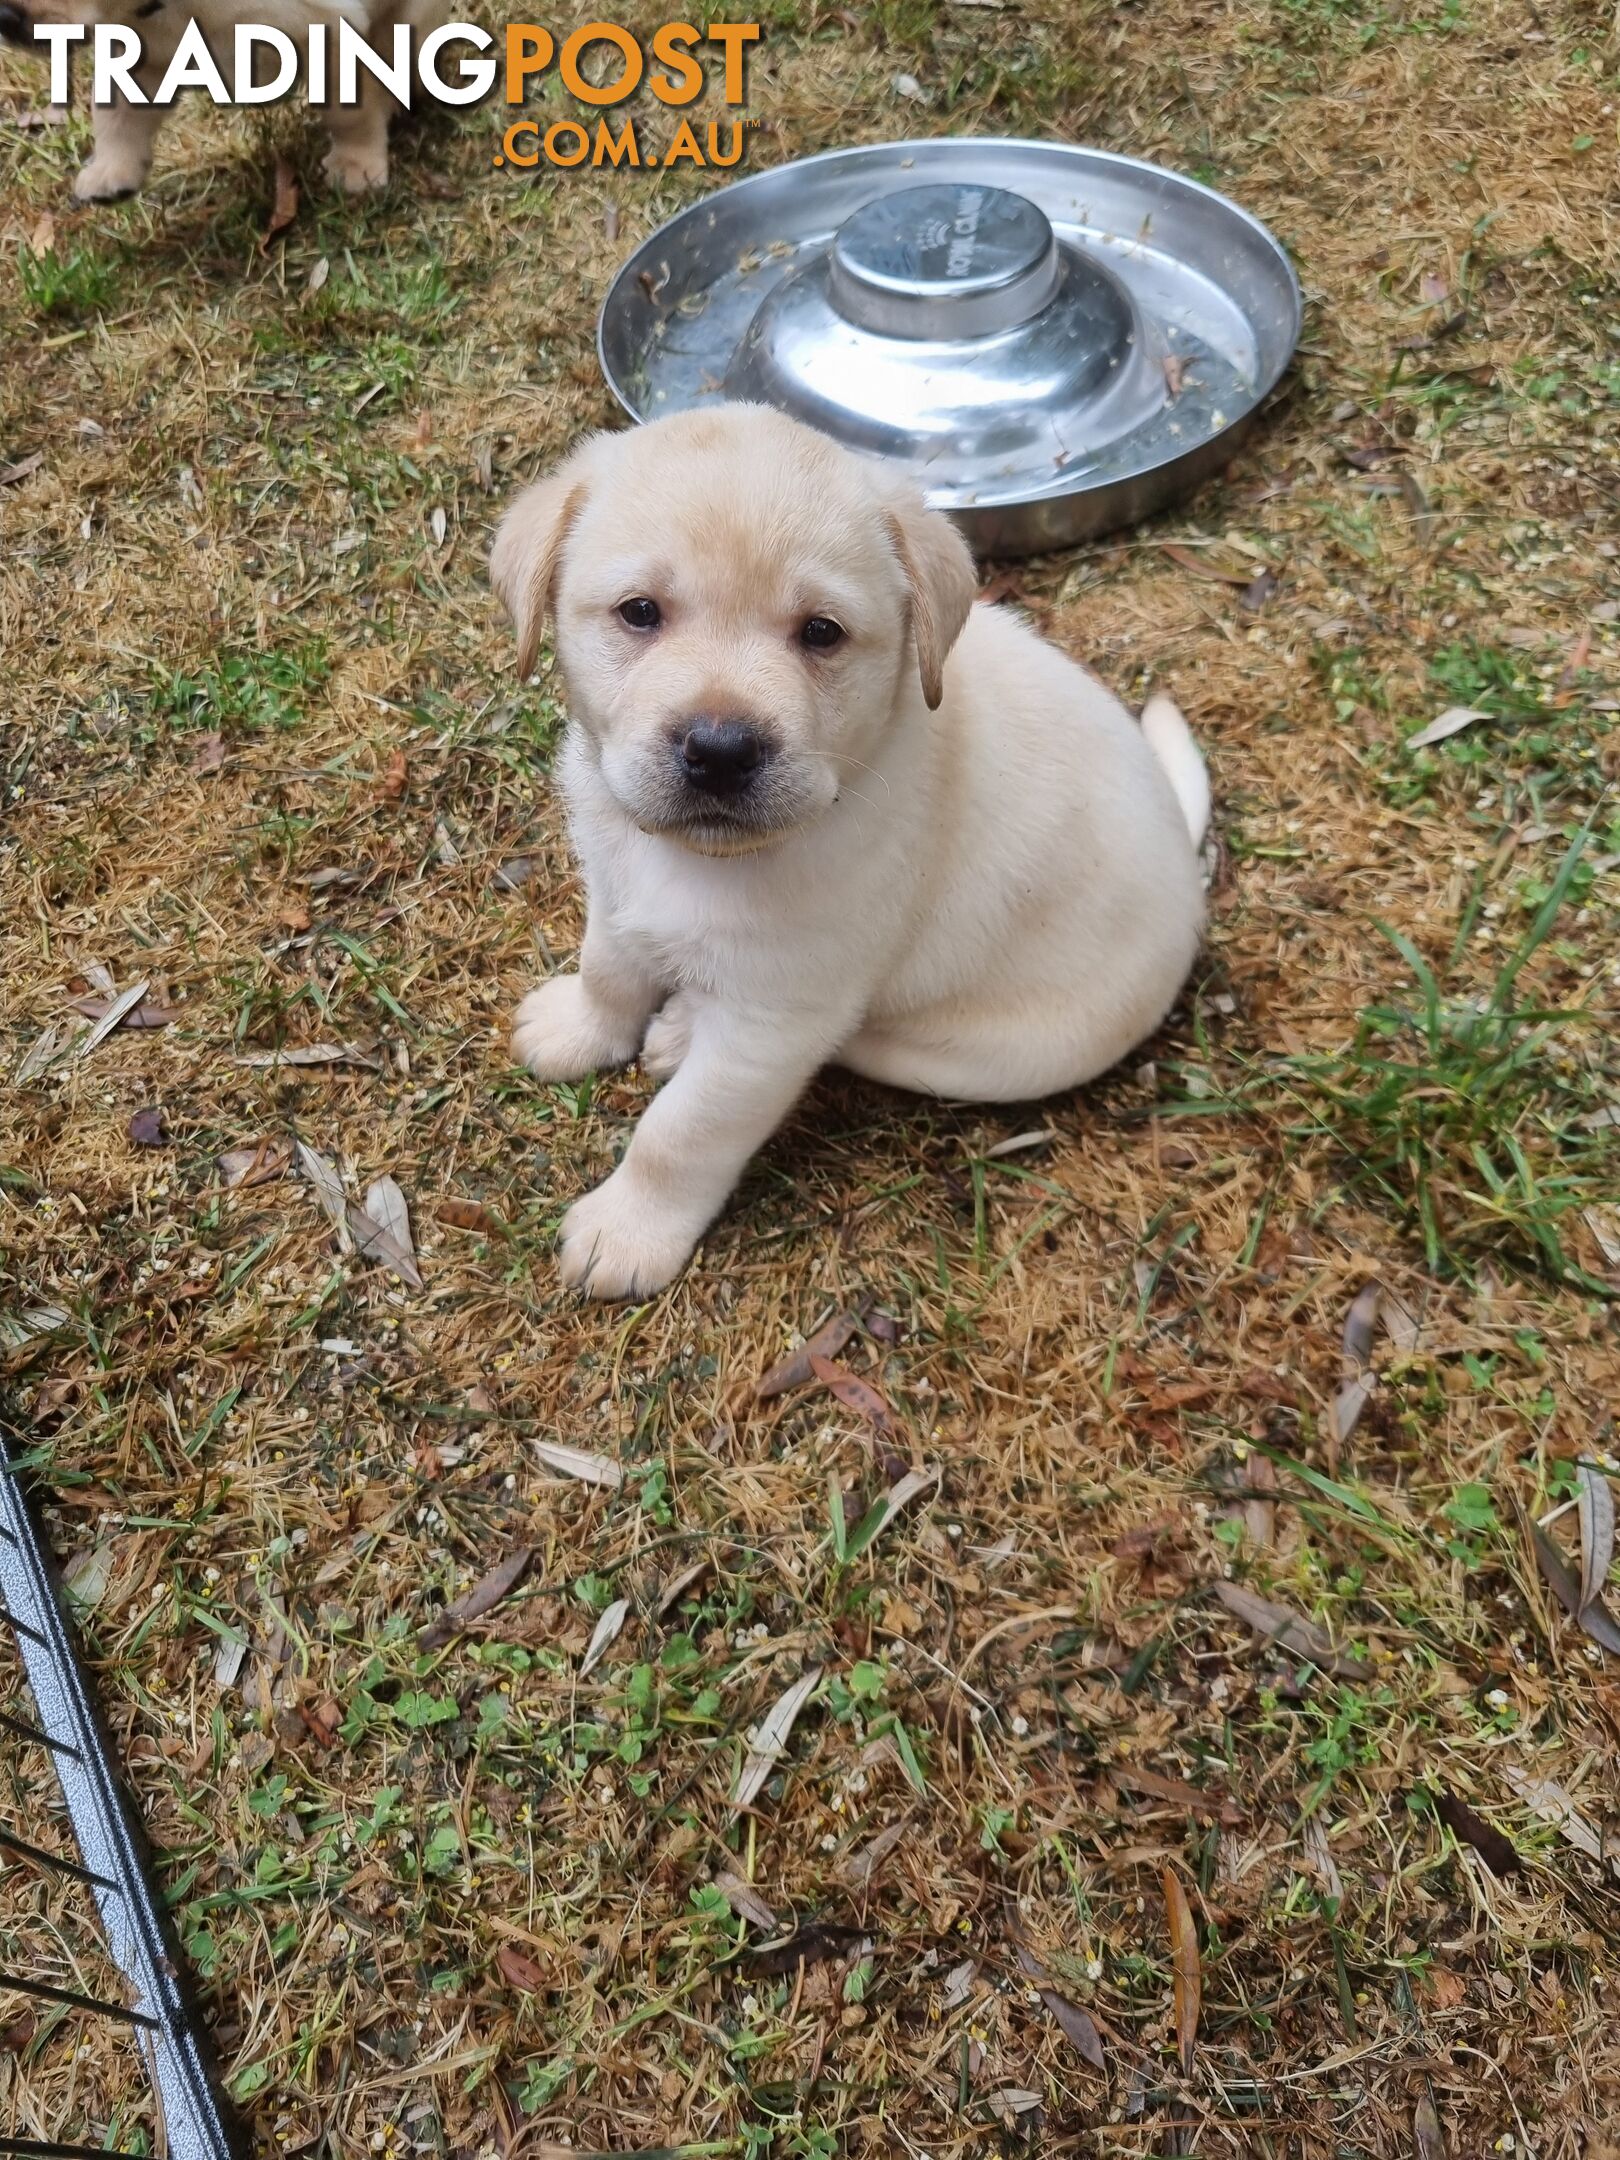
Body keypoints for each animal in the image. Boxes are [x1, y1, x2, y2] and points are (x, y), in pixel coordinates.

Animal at [488, 401, 1209, 1296]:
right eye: (640, 613)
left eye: (822, 633)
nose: (720, 750)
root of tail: (1187, 861)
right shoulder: (617, 890)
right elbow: (607, 970)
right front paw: (579, 1029)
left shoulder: (775, 1020)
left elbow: (682, 1132)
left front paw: (628, 1231)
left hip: (979, 1052)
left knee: (858, 1041)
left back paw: (687, 1030)